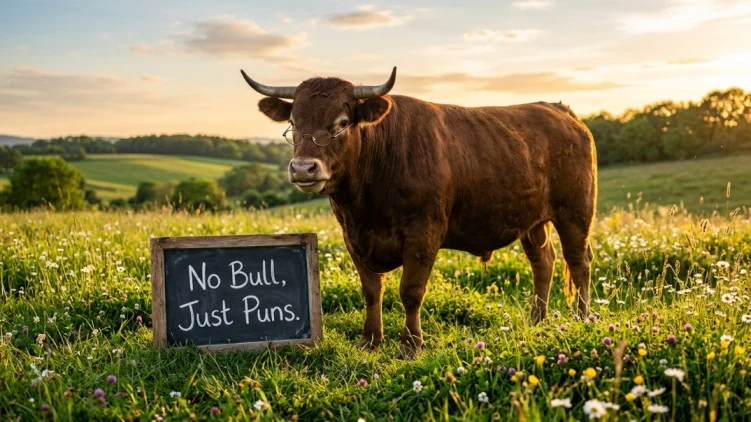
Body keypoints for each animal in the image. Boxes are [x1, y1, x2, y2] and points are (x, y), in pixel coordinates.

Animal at [241, 67, 597, 359]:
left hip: (576, 212)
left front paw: (411, 345)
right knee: (544, 263)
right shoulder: (352, 237)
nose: (303, 168)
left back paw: (581, 318)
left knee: (578, 262)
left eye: (341, 123)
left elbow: (410, 291)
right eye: (293, 123)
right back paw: (536, 320)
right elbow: (371, 291)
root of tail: (558, 109)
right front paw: (370, 340)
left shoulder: (423, 233)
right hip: (532, 220)